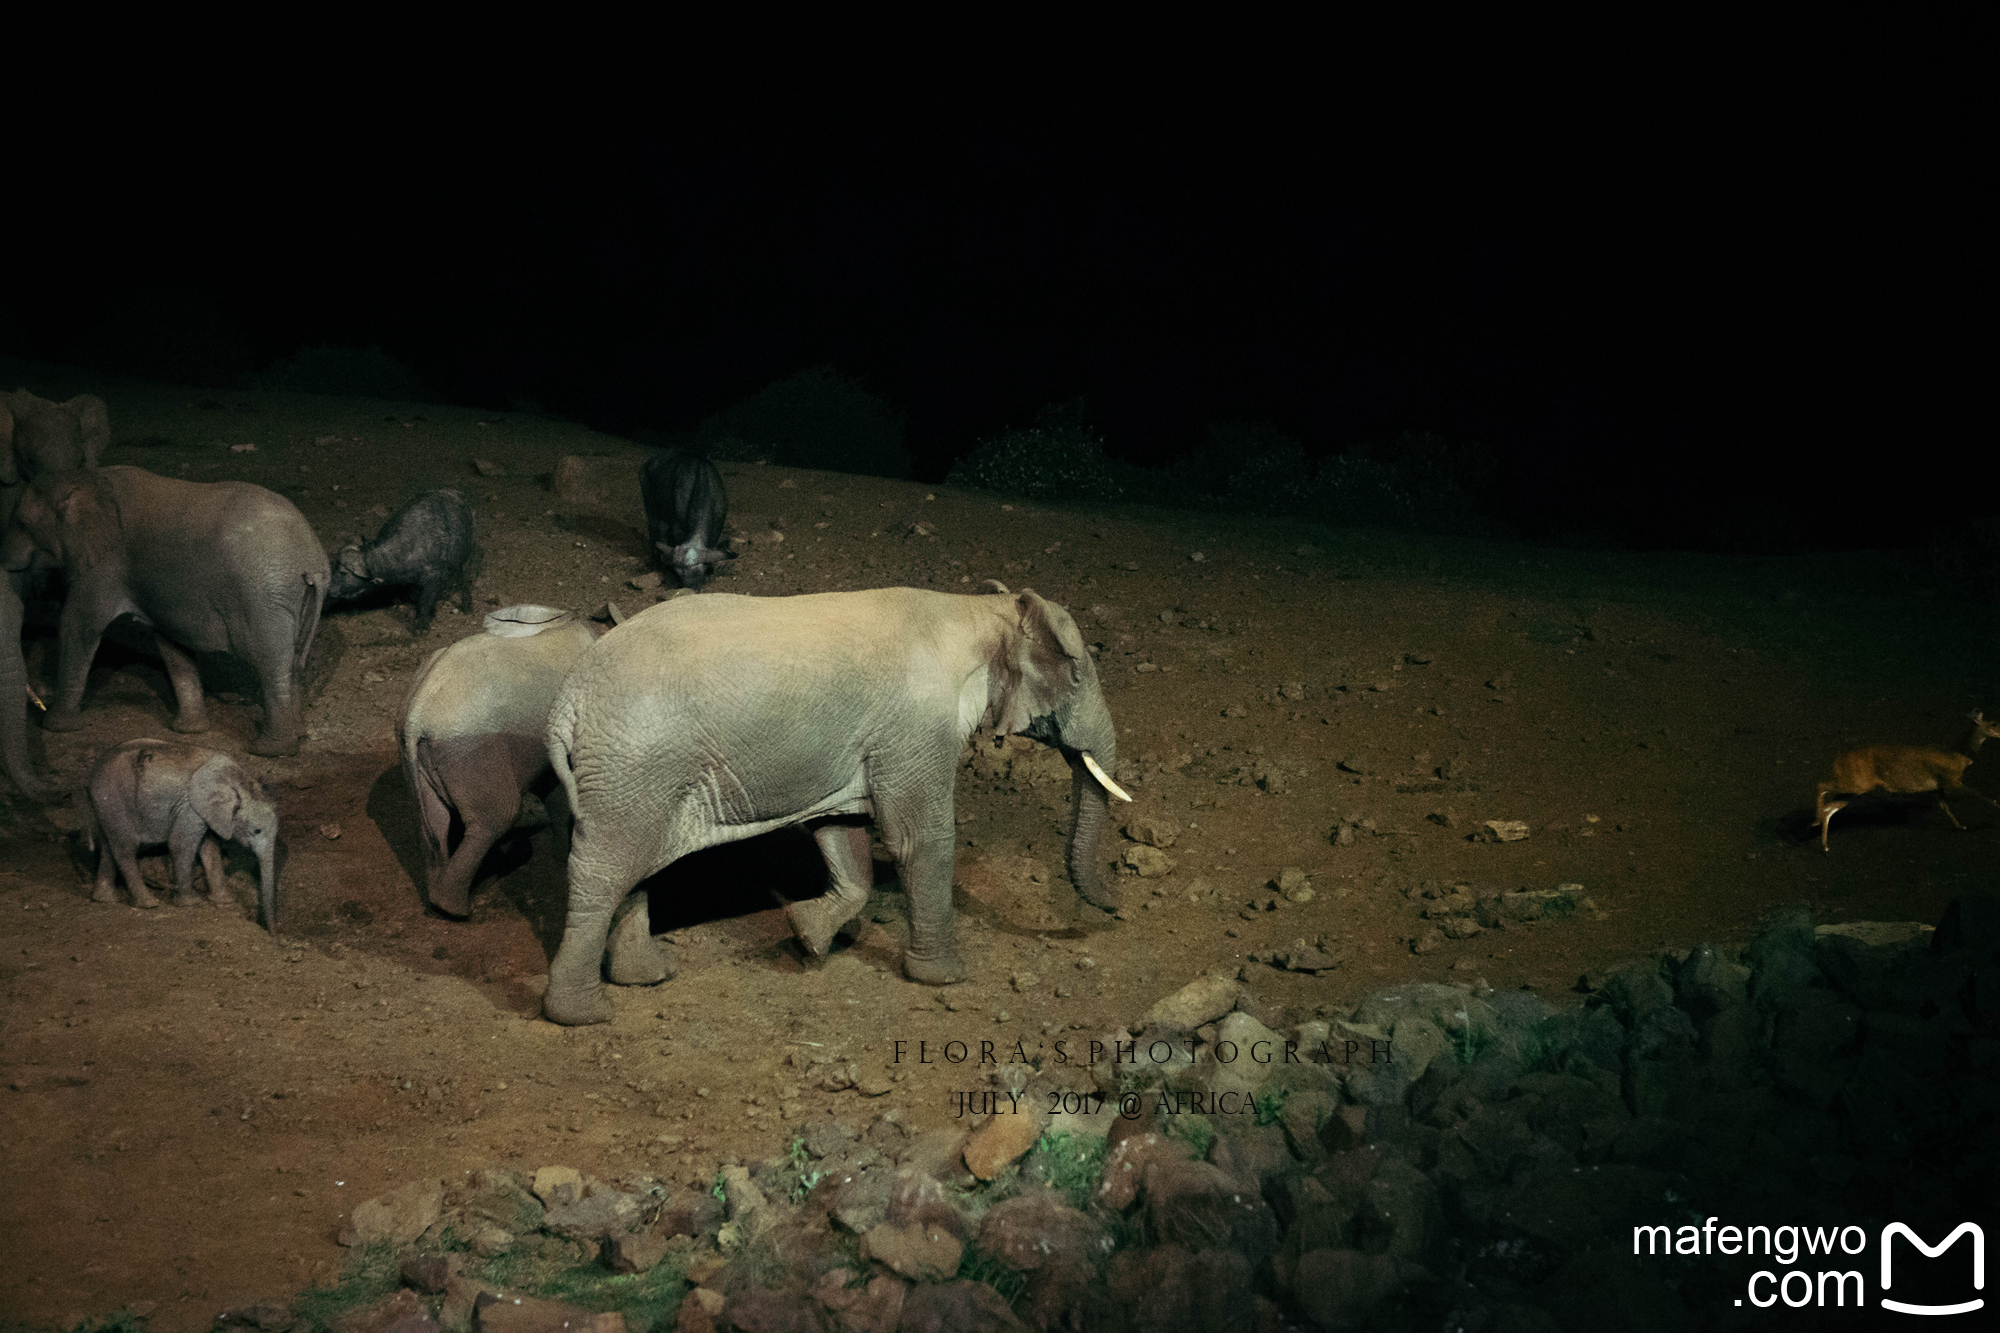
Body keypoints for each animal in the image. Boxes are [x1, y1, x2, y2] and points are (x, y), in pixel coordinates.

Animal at [84, 736, 282, 932]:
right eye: (256, 831)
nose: (272, 933)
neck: (239, 780)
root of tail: (92, 772)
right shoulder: (189, 807)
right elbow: (182, 844)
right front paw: (191, 903)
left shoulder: (204, 810)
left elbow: (210, 847)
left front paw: (225, 901)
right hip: (114, 799)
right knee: (125, 848)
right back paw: (149, 904)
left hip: (106, 804)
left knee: (109, 845)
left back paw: (104, 899)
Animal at [334, 488, 482, 632]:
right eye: (336, 566)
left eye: (344, 572)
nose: (331, 589)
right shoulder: (411, 583)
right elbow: (417, 597)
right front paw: (430, 613)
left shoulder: (433, 578)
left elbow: (424, 602)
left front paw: (421, 626)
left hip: (467, 556)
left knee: (465, 579)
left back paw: (467, 605)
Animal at [540, 584, 1136, 1024]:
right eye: (1077, 675)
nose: (1119, 909)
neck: (977, 609)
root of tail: (567, 703)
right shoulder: (916, 729)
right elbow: (918, 839)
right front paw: (944, 979)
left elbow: (842, 827)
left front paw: (807, 938)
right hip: (633, 766)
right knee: (606, 870)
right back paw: (584, 1015)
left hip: (627, 778)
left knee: (632, 866)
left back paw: (647, 978)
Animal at [1816, 704, 2000, 852]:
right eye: (1995, 723)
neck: (1959, 755)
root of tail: (1838, 759)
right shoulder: (1952, 780)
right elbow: (1979, 794)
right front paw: (1996, 808)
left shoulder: (1938, 787)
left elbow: (1944, 806)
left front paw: (1960, 825)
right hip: (1856, 783)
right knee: (1822, 786)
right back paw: (1817, 821)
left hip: (1857, 785)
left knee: (1830, 807)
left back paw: (1824, 842)